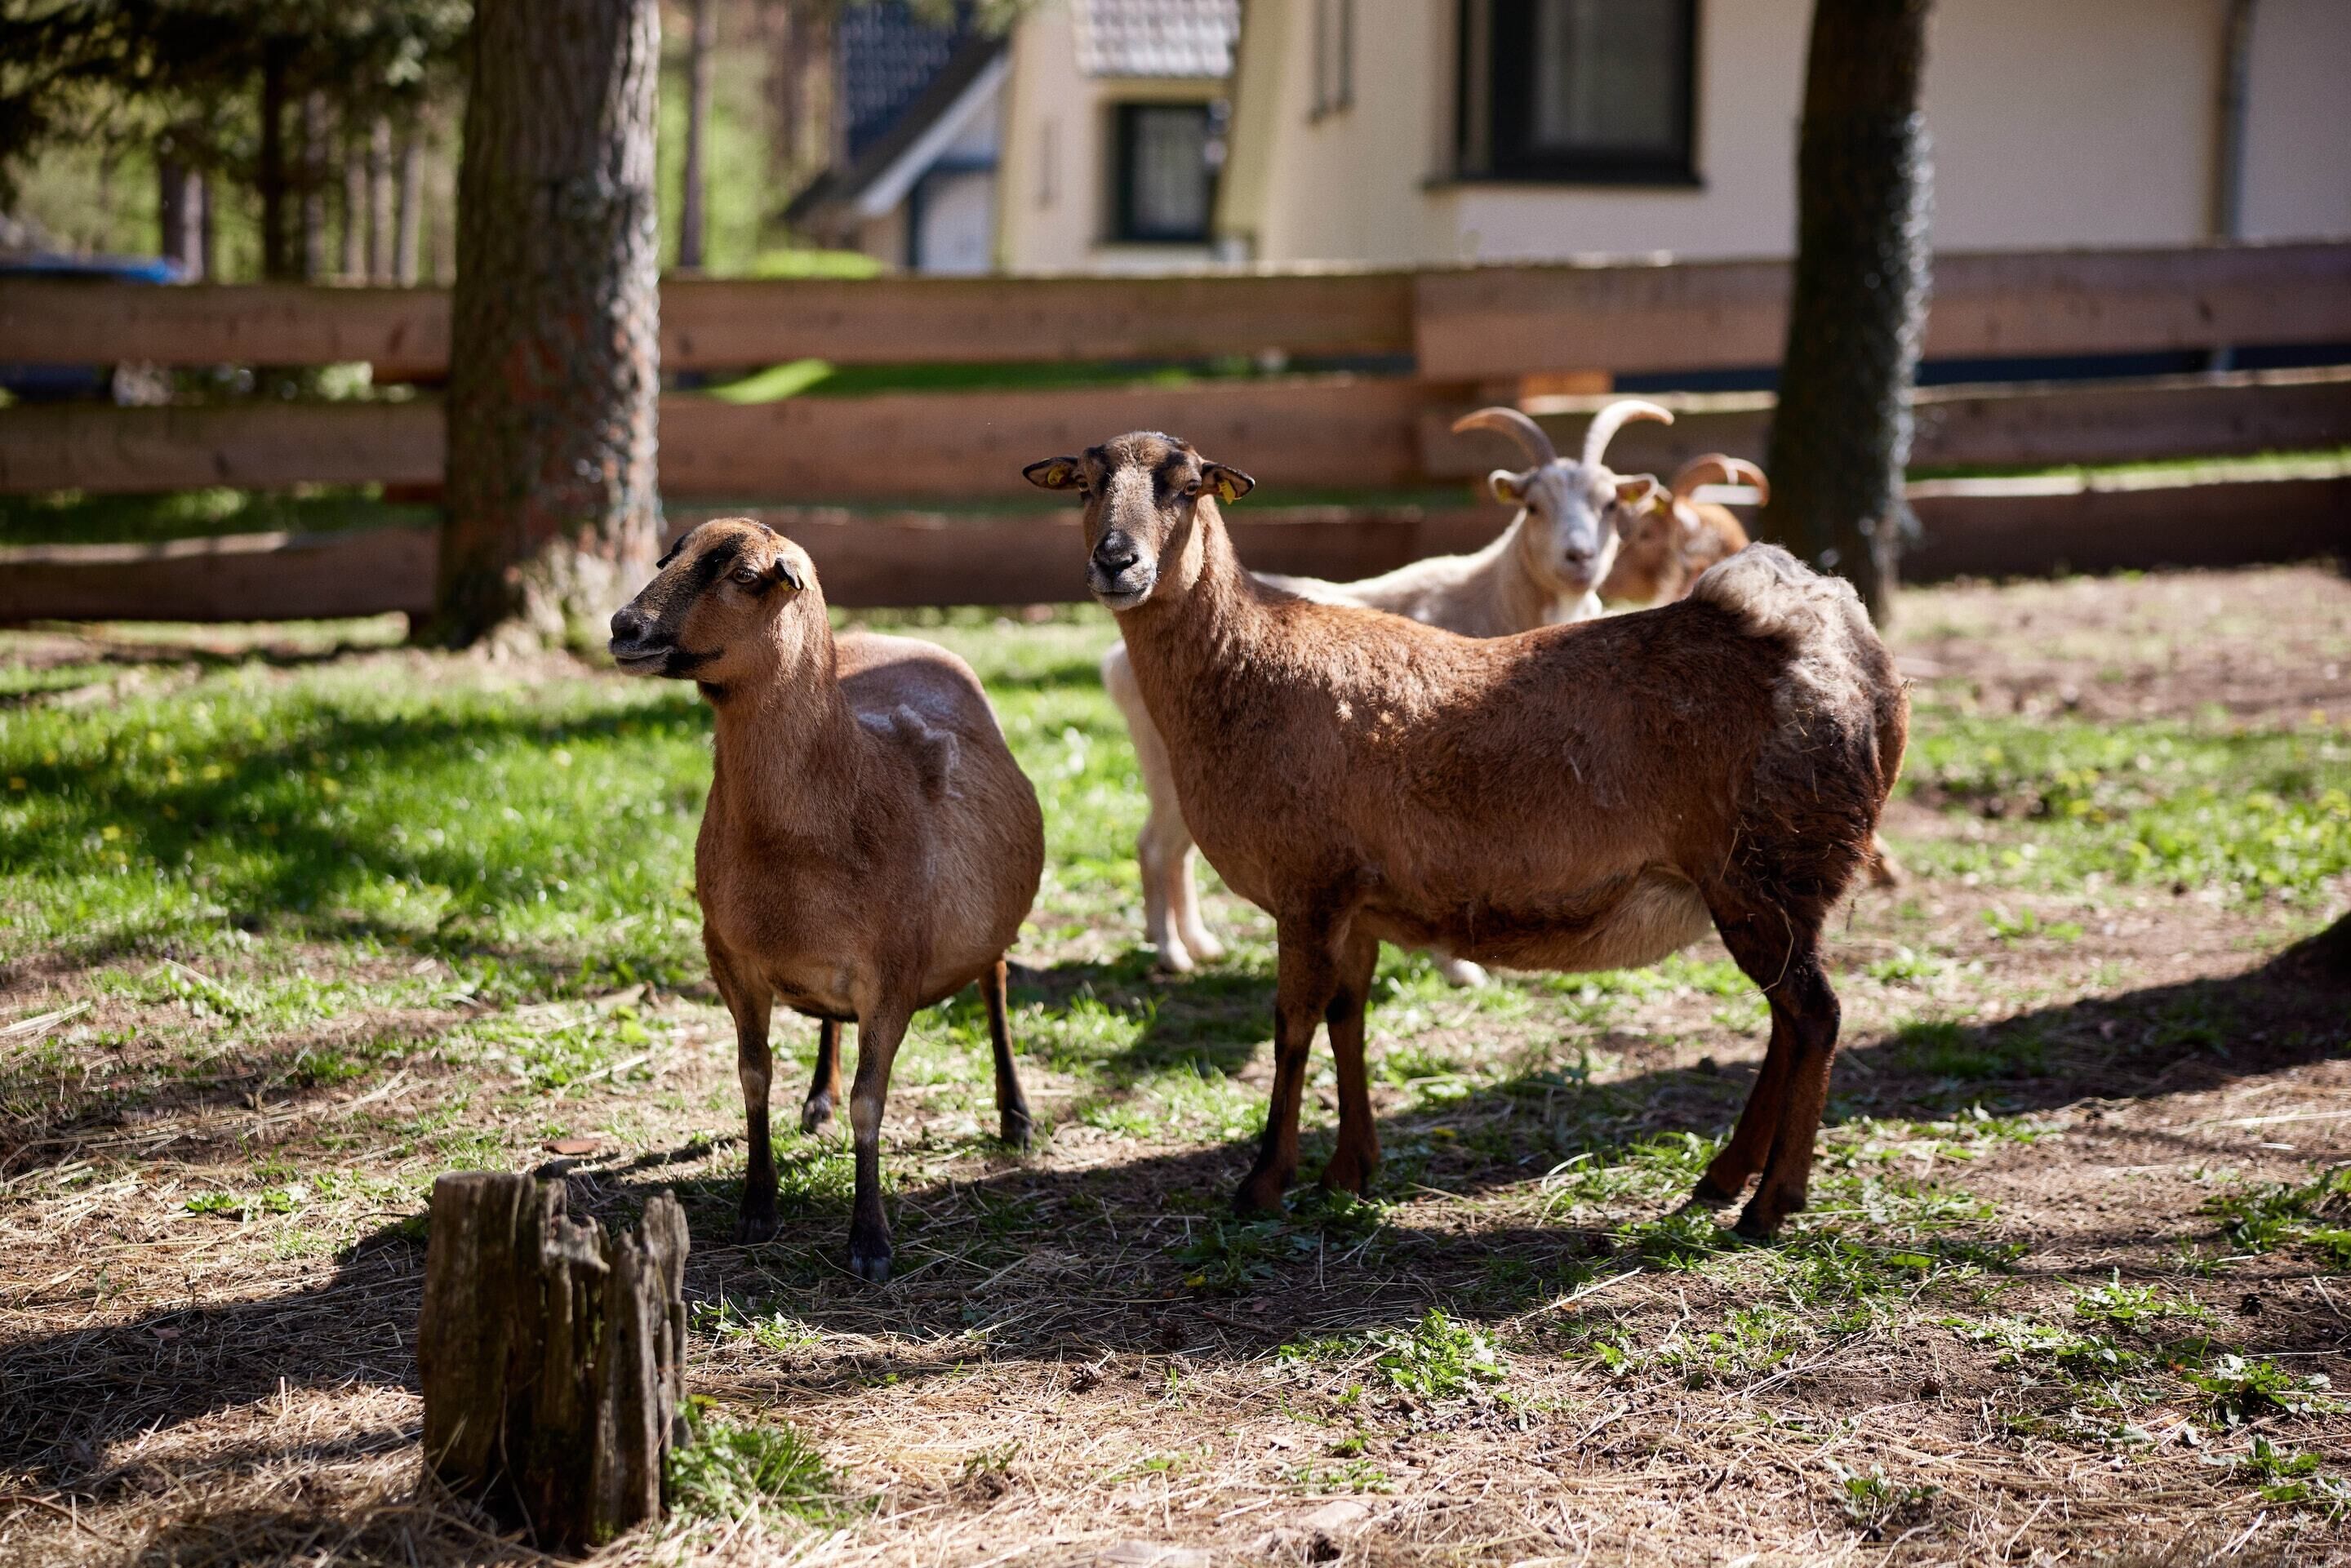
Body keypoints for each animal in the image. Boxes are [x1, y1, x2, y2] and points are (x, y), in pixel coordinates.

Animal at [609, 519, 1044, 1282]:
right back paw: (817, 1098)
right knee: (828, 1023)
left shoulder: (894, 975)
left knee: (993, 987)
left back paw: (1014, 1116)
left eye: (745, 575)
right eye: (669, 557)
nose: (623, 626)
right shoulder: (730, 957)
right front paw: (758, 1205)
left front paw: (869, 1239)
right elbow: (753, 1078)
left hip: (985, 928)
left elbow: (871, 1105)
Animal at [1100, 399, 1678, 981]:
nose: (1579, 558)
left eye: (1610, 504)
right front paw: (1462, 970)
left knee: (1173, 851)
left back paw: (1197, 944)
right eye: (1533, 507)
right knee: (1157, 848)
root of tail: (1115, 661)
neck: (1492, 595)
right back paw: (1172, 953)